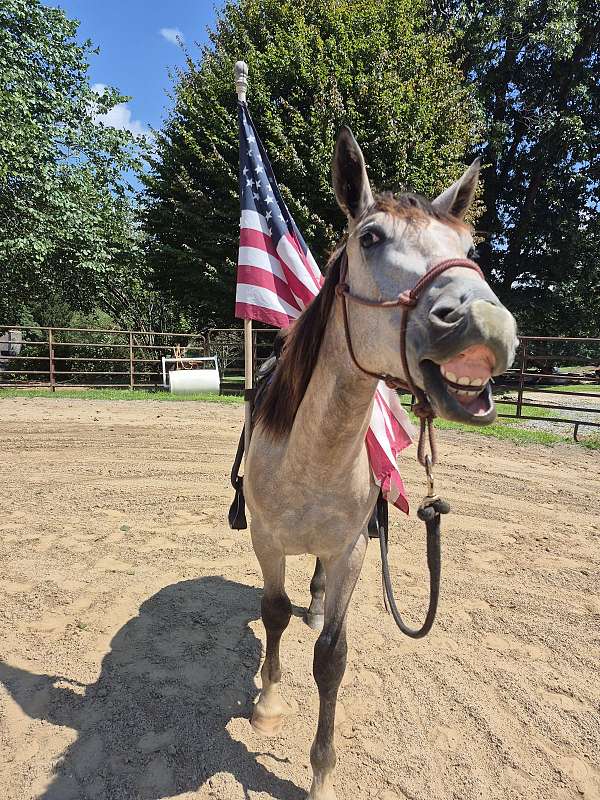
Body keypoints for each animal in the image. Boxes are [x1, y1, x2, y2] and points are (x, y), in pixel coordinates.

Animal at [244, 127, 518, 800]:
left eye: (468, 247)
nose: (487, 326)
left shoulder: (352, 551)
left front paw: (321, 772)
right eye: (369, 237)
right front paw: (268, 703)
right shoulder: (266, 541)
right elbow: (272, 615)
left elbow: (331, 657)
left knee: (316, 593)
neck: (309, 459)